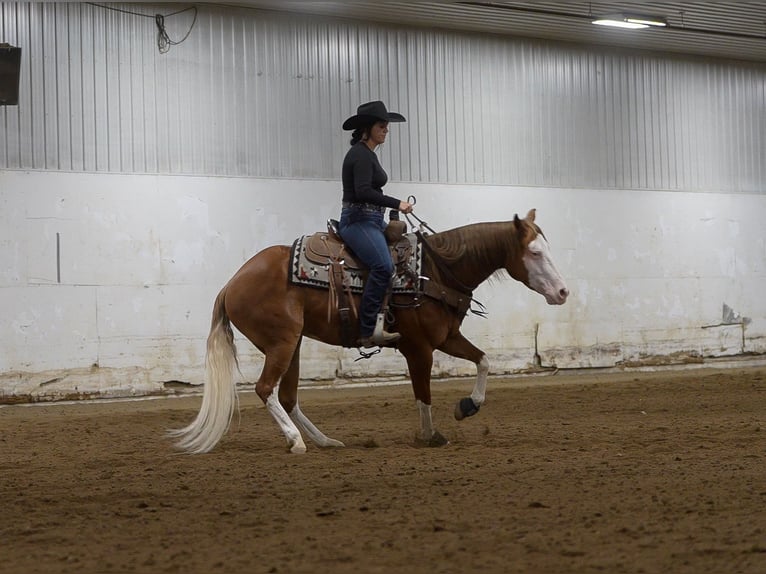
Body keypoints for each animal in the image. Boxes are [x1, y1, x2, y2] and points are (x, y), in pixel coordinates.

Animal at [169, 208, 569, 454]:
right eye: (534, 253)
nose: (563, 292)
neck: (434, 271)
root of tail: (231, 283)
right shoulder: (419, 347)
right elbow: (423, 393)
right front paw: (430, 435)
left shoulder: (445, 338)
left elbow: (484, 361)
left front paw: (467, 406)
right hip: (282, 342)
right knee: (266, 389)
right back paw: (296, 441)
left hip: (292, 343)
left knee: (287, 396)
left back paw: (325, 441)